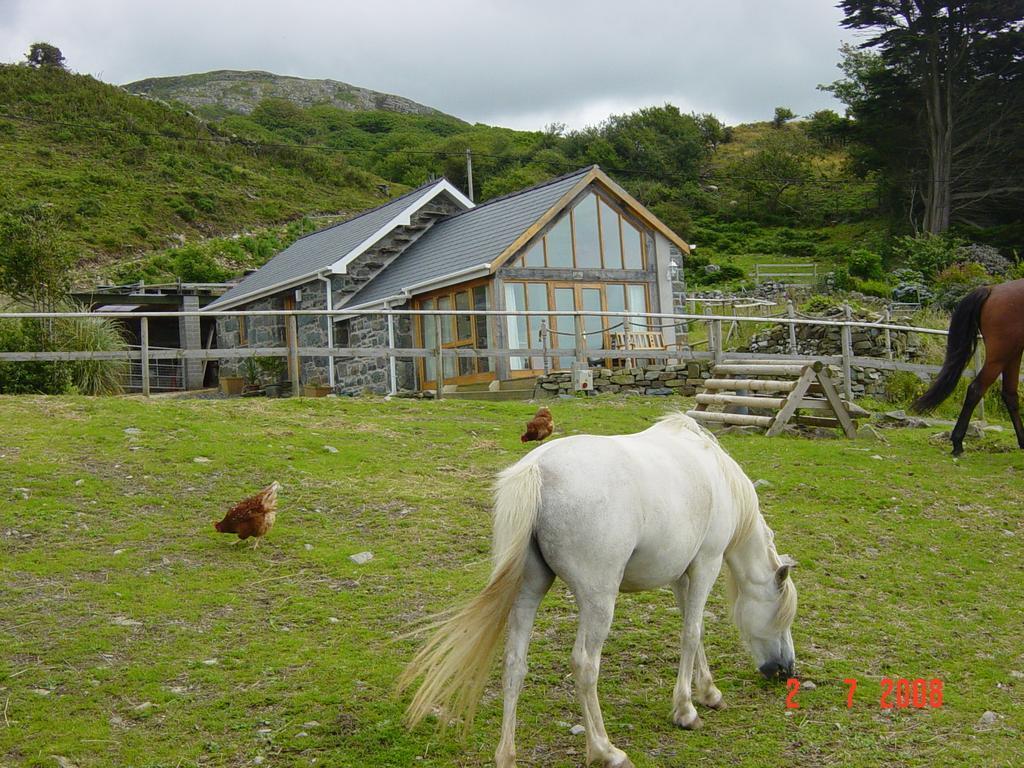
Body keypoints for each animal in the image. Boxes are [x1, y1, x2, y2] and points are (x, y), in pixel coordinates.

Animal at [401, 415, 798, 768]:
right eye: (781, 615)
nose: (785, 670)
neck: (716, 474)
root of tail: (538, 471)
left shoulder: (679, 576)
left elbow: (693, 630)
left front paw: (709, 693)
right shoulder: (706, 564)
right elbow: (692, 632)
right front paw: (686, 710)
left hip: (528, 591)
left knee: (514, 663)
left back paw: (507, 756)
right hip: (599, 600)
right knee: (585, 664)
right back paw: (606, 751)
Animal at [913, 278, 1024, 454]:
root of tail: (992, 289)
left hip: (1013, 352)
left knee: (1010, 395)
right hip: (1001, 355)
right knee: (976, 389)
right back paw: (957, 442)